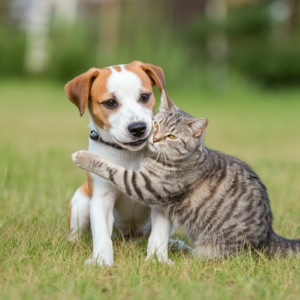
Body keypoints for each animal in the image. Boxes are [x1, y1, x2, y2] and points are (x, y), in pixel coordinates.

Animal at [64, 60, 175, 264]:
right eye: (110, 102)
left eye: (145, 96)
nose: (138, 128)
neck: (128, 155)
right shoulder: (102, 197)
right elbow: (101, 233)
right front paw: (101, 260)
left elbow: (159, 233)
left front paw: (158, 259)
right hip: (81, 202)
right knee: (78, 231)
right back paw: (74, 242)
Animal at [72, 89, 300, 258]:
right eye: (156, 125)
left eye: (172, 136)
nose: (154, 138)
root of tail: (269, 235)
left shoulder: (147, 185)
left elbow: (114, 170)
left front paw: (84, 157)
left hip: (214, 248)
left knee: (198, 255)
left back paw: (177, 247)